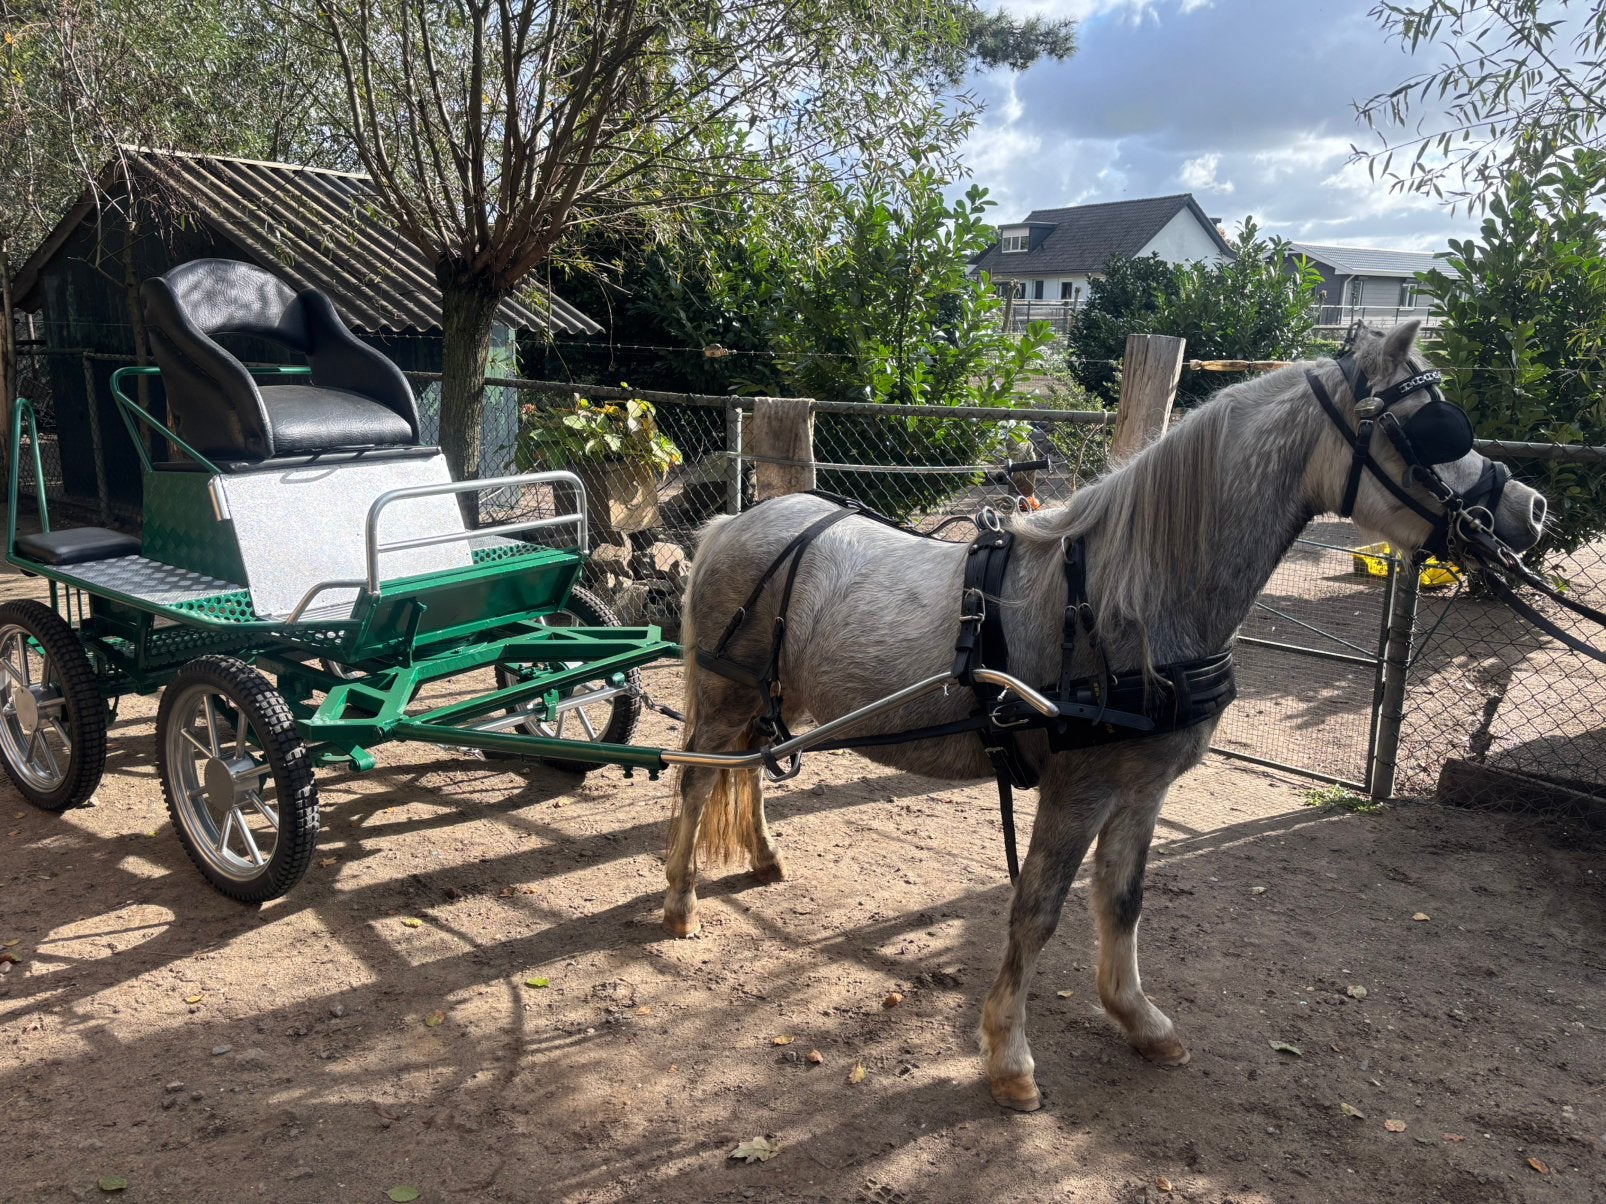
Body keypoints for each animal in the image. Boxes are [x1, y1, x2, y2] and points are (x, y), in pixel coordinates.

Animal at [660, 320, 1548, 1112]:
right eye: (1433, 425)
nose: (1531, 508)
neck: (1126, 595)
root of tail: (735, 522)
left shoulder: (1145, 786)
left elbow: (1121, 901)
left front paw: (1141, 1021)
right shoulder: (1077, 788)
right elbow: (1037, 911)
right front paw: (1010, 1060)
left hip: (767, 702)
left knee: (748, 774)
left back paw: (763, 858)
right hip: (726, 700)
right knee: (697, 783)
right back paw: (680, 903)